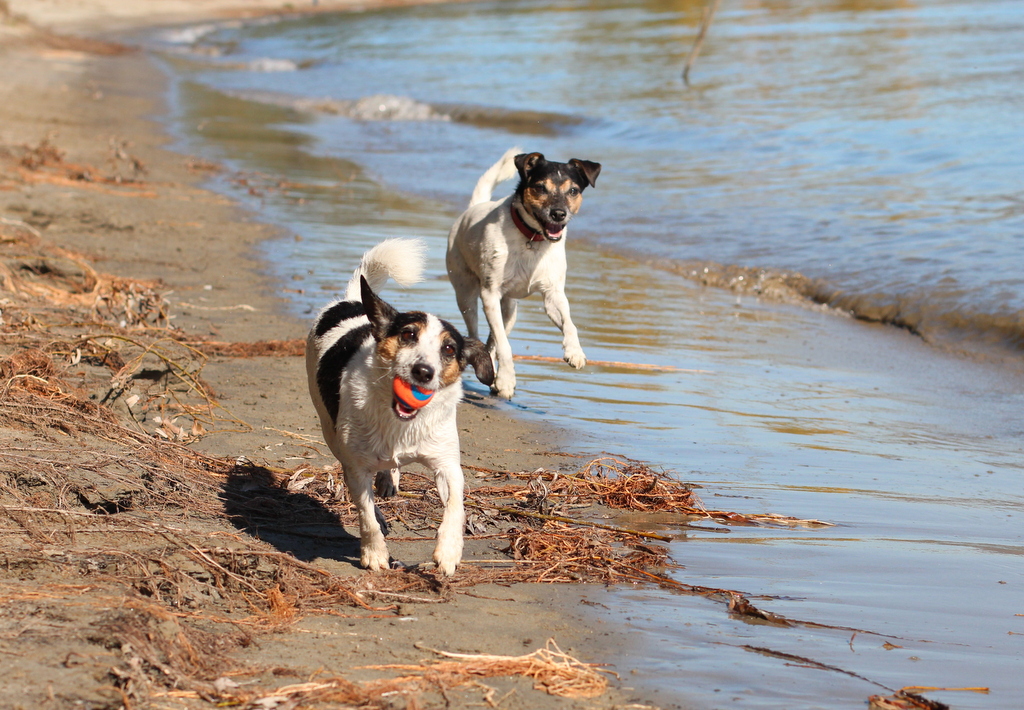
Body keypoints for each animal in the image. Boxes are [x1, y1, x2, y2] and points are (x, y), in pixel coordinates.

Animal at [305, 239, 493, 577]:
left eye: (449, 349)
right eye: (408, 334)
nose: (423, 371)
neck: (400, 425)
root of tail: (352, 300)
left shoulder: (447, 464)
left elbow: (456, 505)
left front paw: (448, 551)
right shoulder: (357, 467)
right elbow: (365, 512)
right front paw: (375, 553)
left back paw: (389, 478)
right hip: (330, 429)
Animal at [446, 147, 598, 399]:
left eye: (573, 191)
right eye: (540, 187)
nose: (559, 213)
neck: (533, 238)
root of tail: (474, 208)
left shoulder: (553, 294)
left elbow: (569, 323)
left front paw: (575, 351)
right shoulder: (489, 294)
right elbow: (505, 346)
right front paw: (507, 380)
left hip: (509, 310)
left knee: (493, 339)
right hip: (466, 293)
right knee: (478, 333)